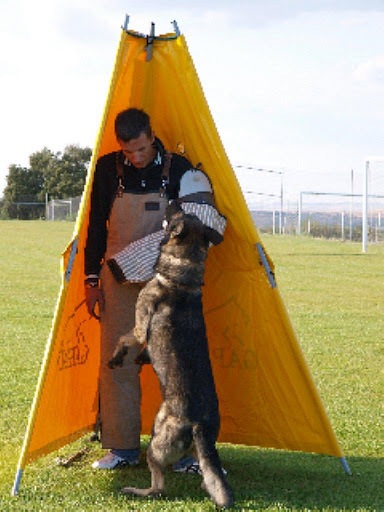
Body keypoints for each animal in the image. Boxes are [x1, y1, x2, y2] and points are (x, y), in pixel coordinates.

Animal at [108, 202, 234, 510]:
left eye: (177, 214)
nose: (172, 199)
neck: (181, 278)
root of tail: (199, 424)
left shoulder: (140, 327)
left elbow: (123, 338)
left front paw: (117, 358)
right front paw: (140, 358)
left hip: (156, 443)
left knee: (158, 489)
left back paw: (135, 490)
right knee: (206, 478)